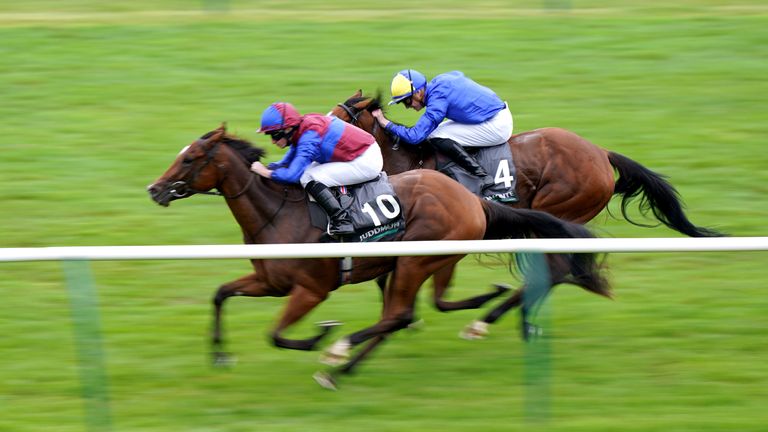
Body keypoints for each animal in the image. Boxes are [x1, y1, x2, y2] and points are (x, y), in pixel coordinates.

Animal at [147, 125, 608, 388]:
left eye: (191, 158)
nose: (155, 189)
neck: (278, 214)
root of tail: (471, 199)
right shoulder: (269, 282)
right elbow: (221, 294)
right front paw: (220, 353)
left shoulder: (311, 289)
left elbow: (276, 334)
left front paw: (319, 336)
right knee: (396, 315)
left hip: (417, 257)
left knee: (398, 314)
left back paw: (338, 358)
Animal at [332, 91, 728, 340]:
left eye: (338, 119)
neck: (412, 160)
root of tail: (601, 153)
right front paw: (402, 319)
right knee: (555, 270)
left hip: (557, 209)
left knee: (554, 269)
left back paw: (488, 322)